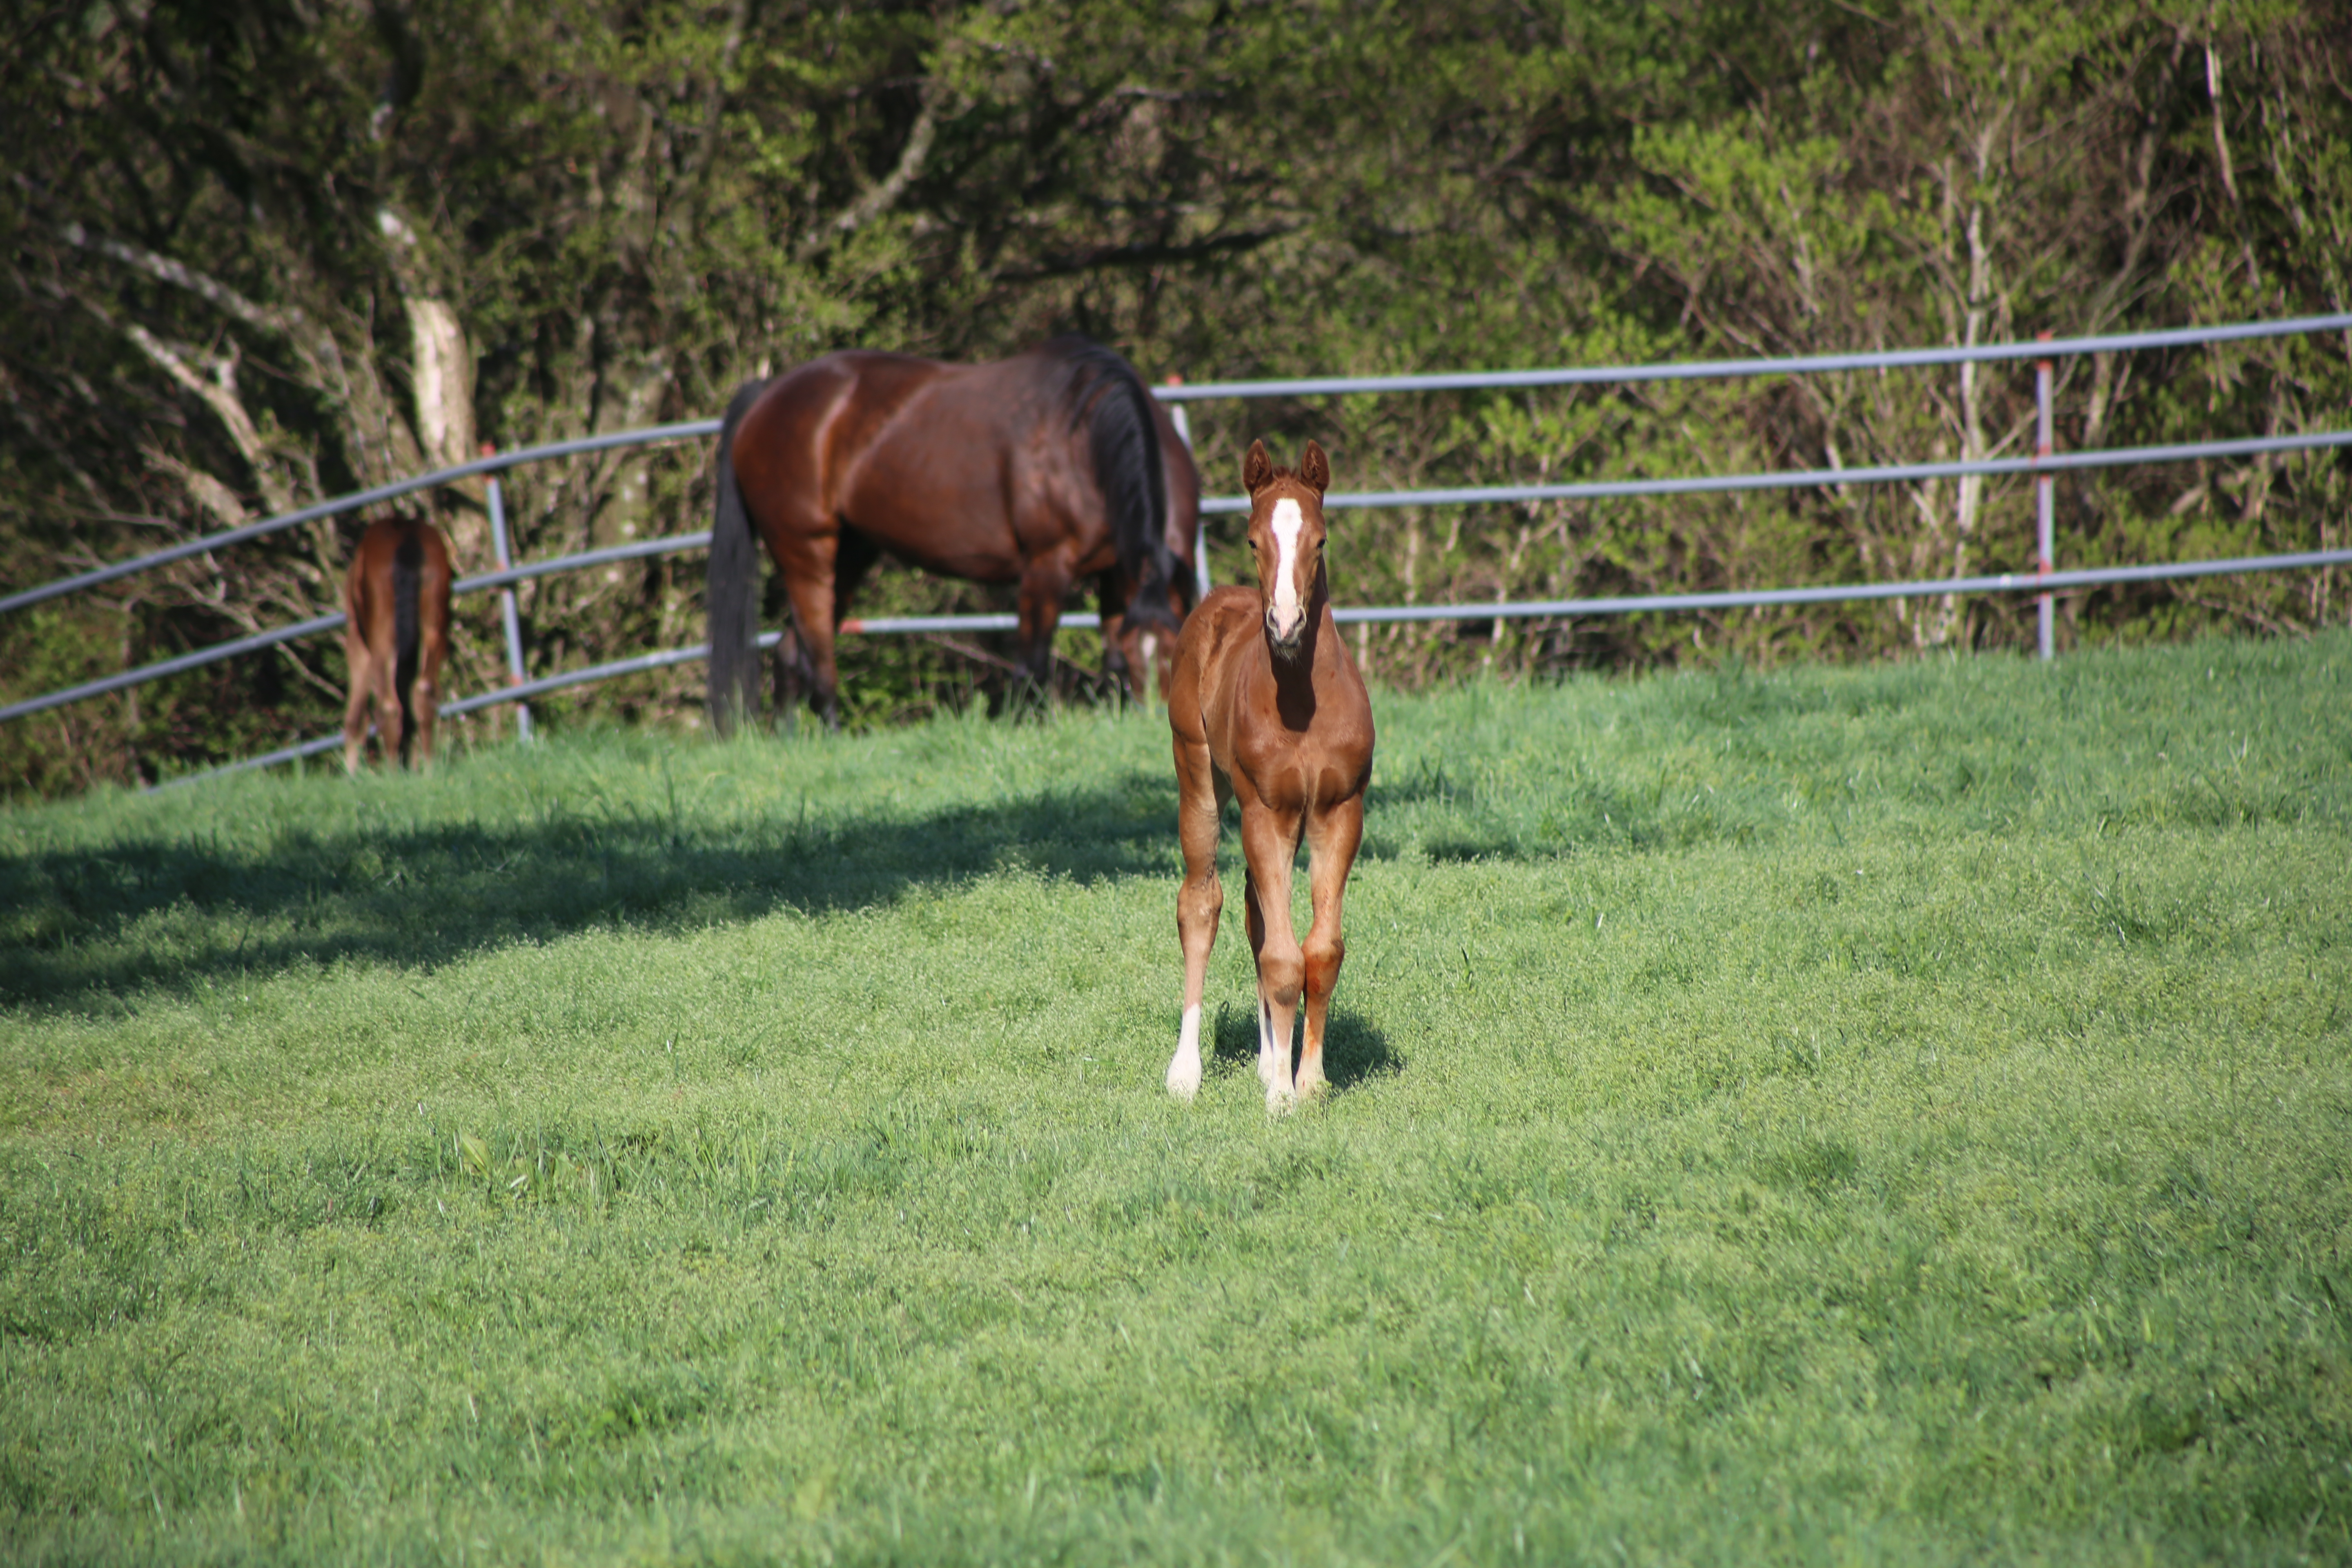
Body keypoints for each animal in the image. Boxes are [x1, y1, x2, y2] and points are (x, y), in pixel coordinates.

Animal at [343, 517, 451, 775]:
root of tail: (407, 540)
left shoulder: (357, 639)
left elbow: (355, 717)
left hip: (380, 636)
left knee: (388, 707)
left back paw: (392, 777)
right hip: (434, 627)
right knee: (423, 693)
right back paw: (429, 772)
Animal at [701, 339, 1195, 728]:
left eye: (1177, 655)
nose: (1167, 721)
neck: (1088, 443)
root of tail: (768, 395)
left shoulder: (1115, 574)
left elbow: (1109, 661)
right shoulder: (1046, 567)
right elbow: (1033, 665)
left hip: (851, 555)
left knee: (791, 651)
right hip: (806, 550)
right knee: (817, 649)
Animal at [1162, 435, 1373, 1109]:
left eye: (1321, 540)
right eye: (1255, 540)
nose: (1285, 625)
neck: (1303, 703)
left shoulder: (1339, 813)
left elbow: (1319, 952)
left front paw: (1307, 1080)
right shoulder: (1265, 812)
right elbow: (1283, 959)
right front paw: (1281, 1098)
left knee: (1257, 913)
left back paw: (1265, 1058)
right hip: (1198, 778)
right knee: (1202, 903)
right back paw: (1186, 1072)